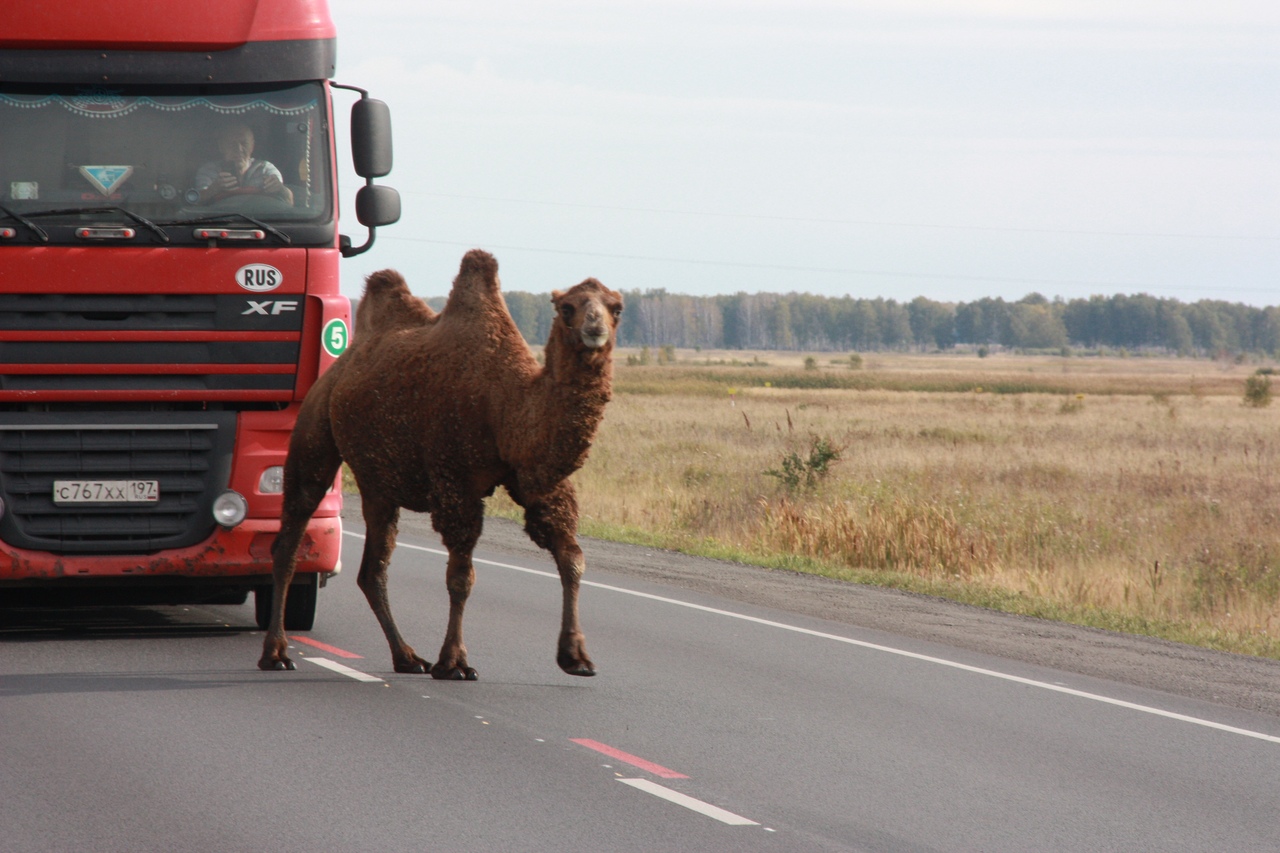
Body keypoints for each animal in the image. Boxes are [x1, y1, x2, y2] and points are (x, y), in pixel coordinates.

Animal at [258, 249, 623, 678]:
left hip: (378, 481)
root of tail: (339, 367)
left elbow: (572, 558)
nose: (594, 327)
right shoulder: (455, 481)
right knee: (291, 538)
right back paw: (276, 653)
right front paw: (454, 662)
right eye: (567, 308)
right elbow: (461, 577)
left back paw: (407, 656)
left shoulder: (537, 482)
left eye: (615, 307)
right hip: (313, 430)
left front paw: (576, 656)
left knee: (372, 568)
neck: (505, 403)